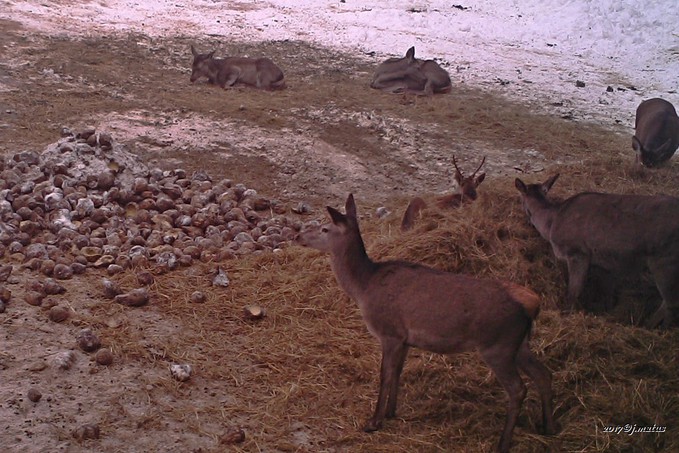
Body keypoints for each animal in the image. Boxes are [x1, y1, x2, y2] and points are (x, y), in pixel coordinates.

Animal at [294, 193, 556, 452]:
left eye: (325, 228)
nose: (298, 236)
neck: (363, 288)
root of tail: (532, 304)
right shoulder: (405, 338)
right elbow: (397, 371)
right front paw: (390, 411)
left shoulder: (389, 332)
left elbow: (385, 374)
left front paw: (374, 421)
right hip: (519, 344)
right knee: (544, 374)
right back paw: (548, 426)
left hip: (497, 346)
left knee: (518, 389)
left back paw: (503, 443)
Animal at [516, 171, 679, 326]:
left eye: (521, 200)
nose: (527, 221)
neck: (550, 224)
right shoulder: (604, 262)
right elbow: (608, 292)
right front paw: (606, 310)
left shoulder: (577, 252)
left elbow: (574, 291)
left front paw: (566, 313)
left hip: (665, 262)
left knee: (671, 304)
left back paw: (652, 327)